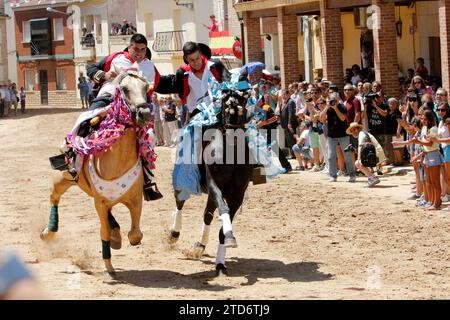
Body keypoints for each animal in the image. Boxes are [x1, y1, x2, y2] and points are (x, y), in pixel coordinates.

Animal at [41, 68, 153, 276]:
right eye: (125, 89)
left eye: (146, 88)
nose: (144, 113)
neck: (118, 159)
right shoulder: (99, 202)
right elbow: (104, 231)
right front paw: (108, 266)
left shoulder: (135, 199)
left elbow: (135, 234)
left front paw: (118, 240)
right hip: (63, 179)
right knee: (54, 197)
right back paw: (48, 231)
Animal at [170, 84, 255, 276]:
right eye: (225, 105)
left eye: (243, 103)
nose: (233, 133)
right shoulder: (215, 185)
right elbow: (223, 210)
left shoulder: (237, 194)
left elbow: (223, 225)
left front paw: (221, 262)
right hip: (184, 183)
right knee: (179, 203)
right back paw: (173, 234)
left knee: (207, 215)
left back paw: (200, 245)